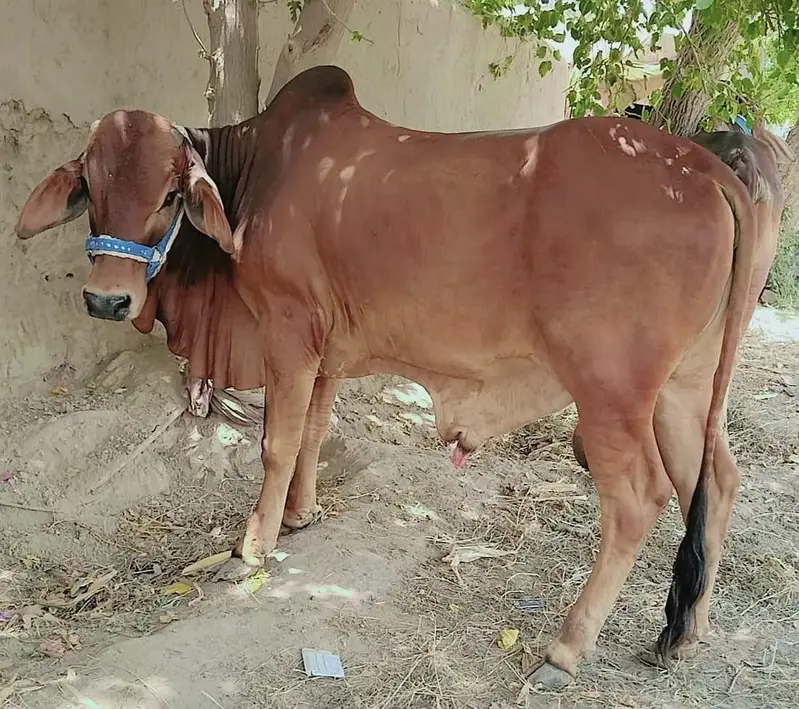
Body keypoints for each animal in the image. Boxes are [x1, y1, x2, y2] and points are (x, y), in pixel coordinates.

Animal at [15, 65, 758, 690]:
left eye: (170, 194)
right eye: (91, 189)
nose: (107, 300)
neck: (255, 172)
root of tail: (701, 167)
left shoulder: (288, 328)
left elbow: (277, 443)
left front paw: (250, 548)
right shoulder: (326, 349)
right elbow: (313, 434)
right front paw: (300, 515)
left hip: (611, 391)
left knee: (637, 500)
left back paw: (566, 648)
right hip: (684, 388)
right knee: (716, 481)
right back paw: (684, 634)